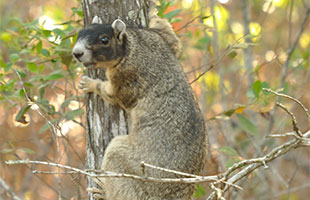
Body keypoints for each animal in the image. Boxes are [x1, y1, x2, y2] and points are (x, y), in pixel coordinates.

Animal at [73, 12, 208, 200]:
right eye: (79, 33)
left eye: (104, 39)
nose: (76, 53)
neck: (132, 45)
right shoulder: (159, 38)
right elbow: (173, 40)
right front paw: (154, 14)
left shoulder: (127, 78)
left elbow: (114, 95)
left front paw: (92, 84)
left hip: (122, 159)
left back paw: (103, 191)